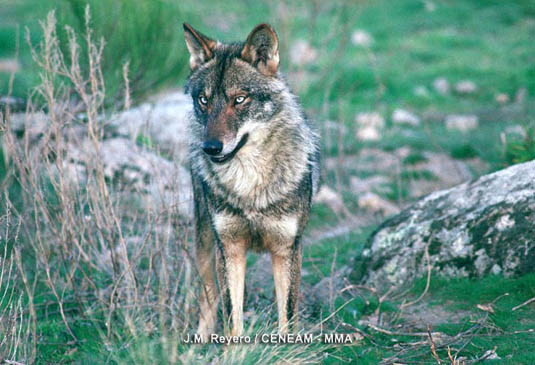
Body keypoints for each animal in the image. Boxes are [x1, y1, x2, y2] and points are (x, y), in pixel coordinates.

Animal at [184, 22, 318, 336]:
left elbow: (287, 318)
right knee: (208, 299)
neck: (250, 187)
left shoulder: (287, 249)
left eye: (239, 99)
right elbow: (233, 319)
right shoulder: (229, 248)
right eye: (203, 100)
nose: (211, 148)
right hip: (205, 243)